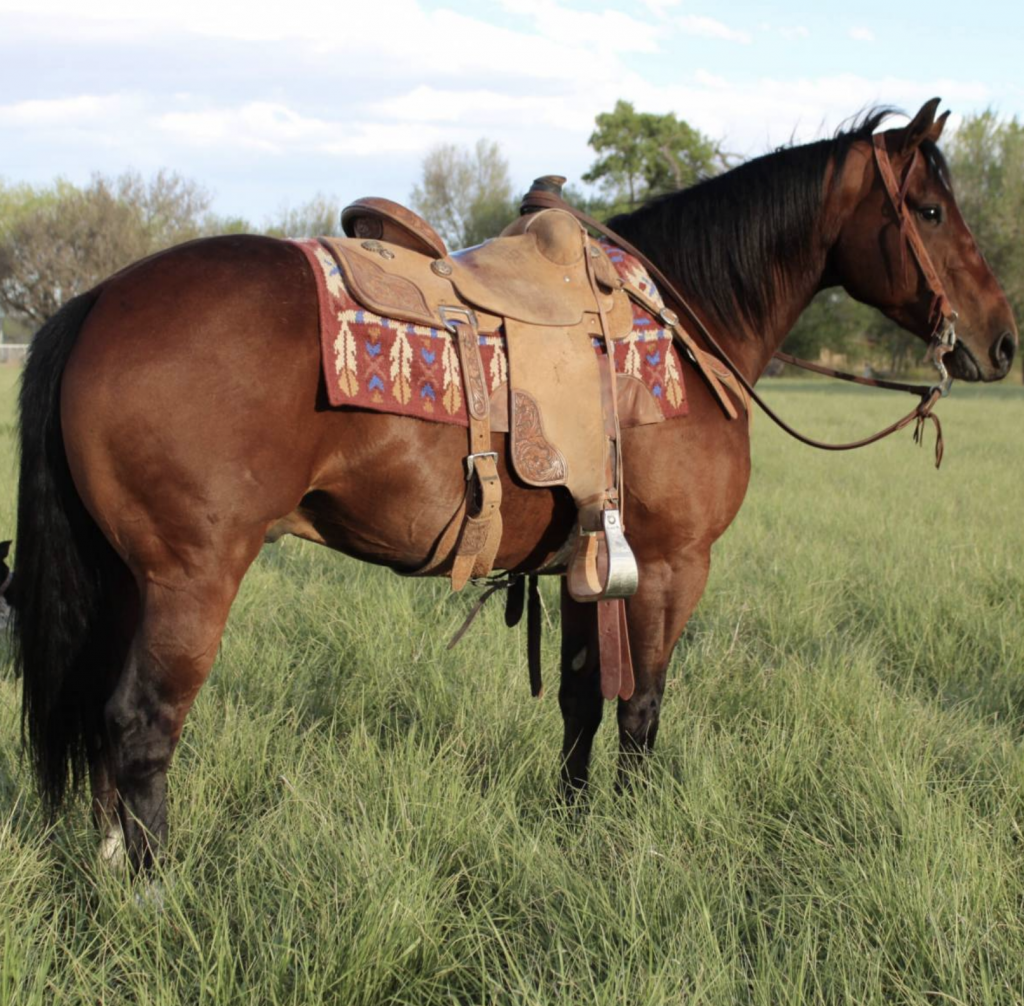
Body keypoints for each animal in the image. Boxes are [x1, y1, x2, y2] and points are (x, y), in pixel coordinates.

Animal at [11, 99, 1016, 873]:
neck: (684, 322)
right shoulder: (671, 564)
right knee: (140, 728)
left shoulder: (584, 563)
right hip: (191, 577)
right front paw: (634, 840)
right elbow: (641, 709)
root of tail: (95, 301)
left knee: (102, 728)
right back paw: (156, 891)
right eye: (930, 211)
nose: (1000, 341)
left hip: (124, 578)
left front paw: (572, 827)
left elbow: (578, 703)